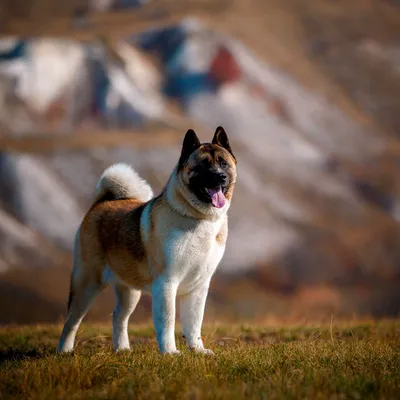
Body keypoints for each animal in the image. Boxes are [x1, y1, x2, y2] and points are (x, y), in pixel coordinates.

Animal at [57, 126, 236, 354]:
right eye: (203, 165)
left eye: (223, 163)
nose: (220, 176)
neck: (198, 218)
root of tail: (101, 203)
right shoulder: (167, 282)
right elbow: (167, 320)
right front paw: (170, 352)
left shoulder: (198, 287)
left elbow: (194, 322)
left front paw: (198, 350)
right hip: (87, 282)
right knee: (72, 320)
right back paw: (64, 351)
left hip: (129, 290)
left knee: (119, 316)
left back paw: (122, 349)